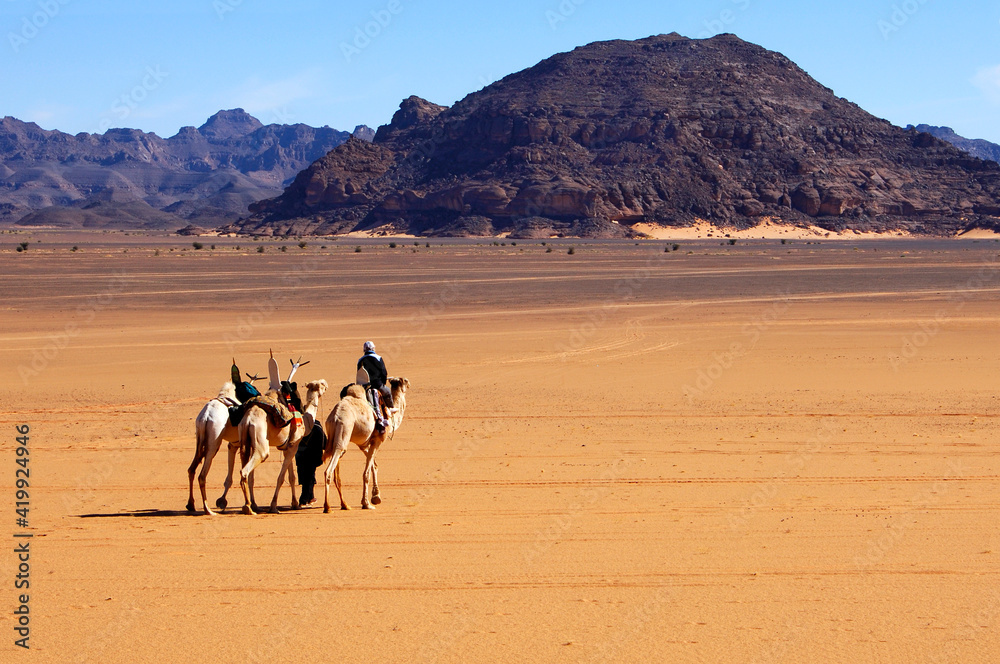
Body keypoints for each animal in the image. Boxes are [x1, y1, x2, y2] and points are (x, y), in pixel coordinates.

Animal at [184, 382, 240, 516]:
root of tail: (205, 417)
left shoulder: (234, 444)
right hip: (214, 442)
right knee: (202, 475)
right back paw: (208, 510)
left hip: (199, 439)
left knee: (191, 469)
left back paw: (191, 505)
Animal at [237, 378, 328, 512]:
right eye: (321, 384)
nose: (325, 383)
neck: (305, 421)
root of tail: (248, 419)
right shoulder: (294, 445)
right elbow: (281, 478)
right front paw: (273, 506)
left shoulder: (289, 446)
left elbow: (291, 477)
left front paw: (294, 504)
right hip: (261, 442)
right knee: (247, 469)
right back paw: (248, 507)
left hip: (246, 439)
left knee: (249, 473)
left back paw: (253, 505)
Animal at [324, 376, 410, 510]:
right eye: (405, 381)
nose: (409, 383)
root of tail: (335, 417)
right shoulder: (377, 440)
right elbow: (367, 472)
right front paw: (366, 503)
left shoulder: (364, 444)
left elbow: (374, 466)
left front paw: (376, 496)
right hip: (344, 431)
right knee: (330, 467)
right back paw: (327, 507)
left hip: (333, 434)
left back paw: (342, 504)